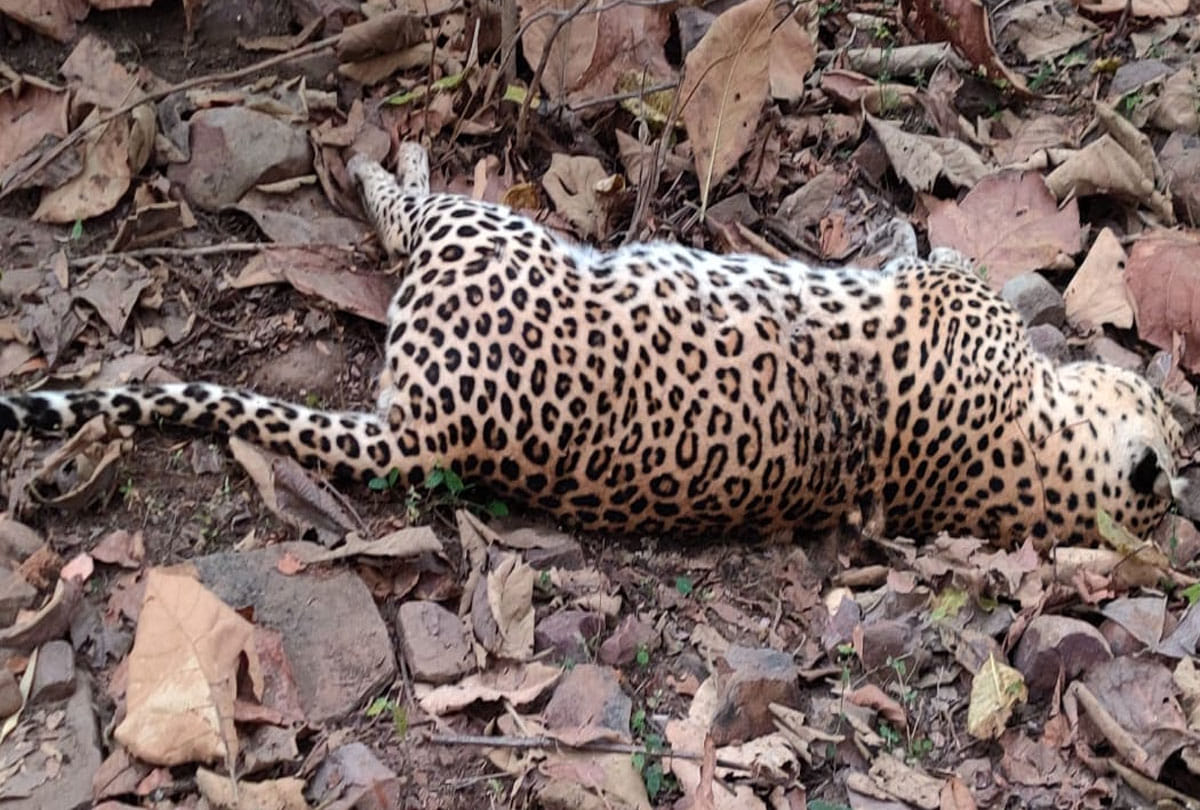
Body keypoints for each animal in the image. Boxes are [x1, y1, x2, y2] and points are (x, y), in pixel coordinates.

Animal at [0, 142, 1186, 547]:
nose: (1170, 409)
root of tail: (425, 433)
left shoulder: (952, 297)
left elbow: (943, 259)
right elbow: (936, 253)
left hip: (489, 239)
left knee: (403, 210)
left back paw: (392, 155)